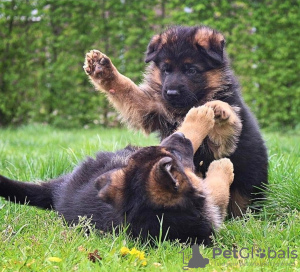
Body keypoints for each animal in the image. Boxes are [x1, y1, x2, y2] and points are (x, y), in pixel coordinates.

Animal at [0, 106, 234, 244]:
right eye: (172, 152)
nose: (180, 137)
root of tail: (55, 192)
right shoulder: (208, 212)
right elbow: (217, 190)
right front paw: (222, 166)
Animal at [83, 25, 268, 217]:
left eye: (191, 70)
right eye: (166, 70)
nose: (171, 93)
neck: (183, 109)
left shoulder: (220, 149)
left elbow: (224, 133)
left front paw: (220, 110)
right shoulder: (151, 107)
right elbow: (127, 89)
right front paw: (103, 70)